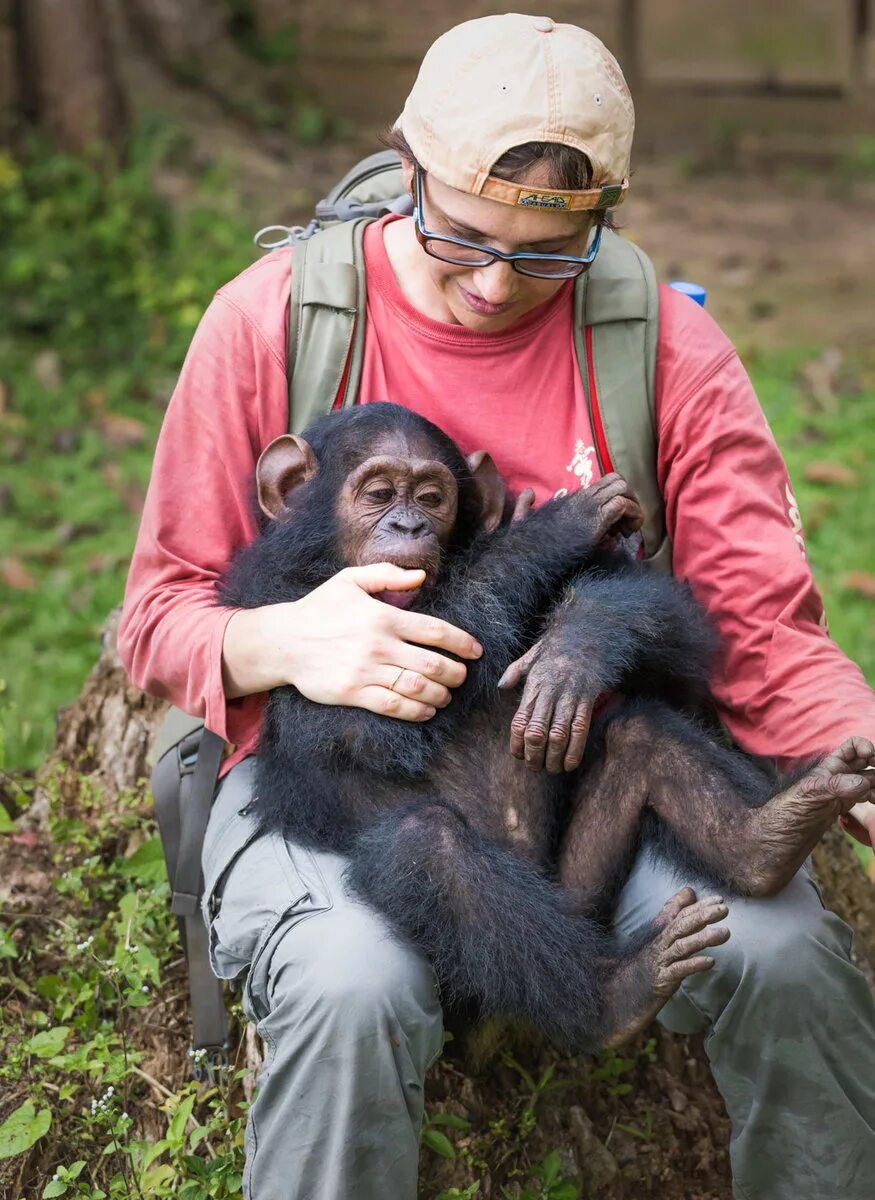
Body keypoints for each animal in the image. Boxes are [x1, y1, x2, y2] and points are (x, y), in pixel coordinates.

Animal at [219, 403, 873, 1051]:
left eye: (431, 497)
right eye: (379, 493)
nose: (408, 526)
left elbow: (675, 624)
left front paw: (577, 645)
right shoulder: (287, 603)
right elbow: (370, 711)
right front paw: (554, 525)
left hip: (580, 892)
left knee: (639, 737)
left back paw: (771, 833)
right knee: (427, 847)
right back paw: (618, 996)